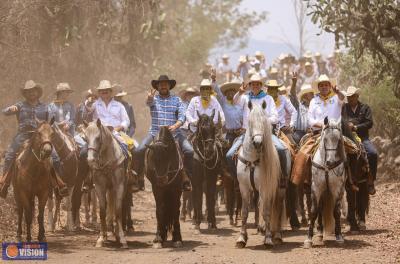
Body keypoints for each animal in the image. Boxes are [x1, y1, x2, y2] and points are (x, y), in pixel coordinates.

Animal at [85, 120, 128, 250]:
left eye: (98, 138)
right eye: (85, 139)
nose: (90, 160)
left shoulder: (119, 186)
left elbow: (118, 211)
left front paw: (122, 239)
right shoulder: (100, 186)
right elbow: (103, 211)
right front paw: (100, 238)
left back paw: (116, 233)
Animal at [234, 101, 288, 248]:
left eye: (264, 122)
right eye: (250, 122)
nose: (257, 143)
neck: (252, 160)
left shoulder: (265, 188)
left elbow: (267, 212)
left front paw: (268, 239)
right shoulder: (244, 187)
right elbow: (245, 212)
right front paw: (242, 238)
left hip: (281, 189)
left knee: (278, 208)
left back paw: (277, 236)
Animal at [304, 117, 346, 248]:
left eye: (338, 140)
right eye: (325, 139)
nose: (330, 162)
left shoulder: (337, 189)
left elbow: (336, 212)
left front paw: (339, 236)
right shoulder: (316, 188)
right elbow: (313, 212)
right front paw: (309, 239)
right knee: (319, 208)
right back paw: (319, 233)